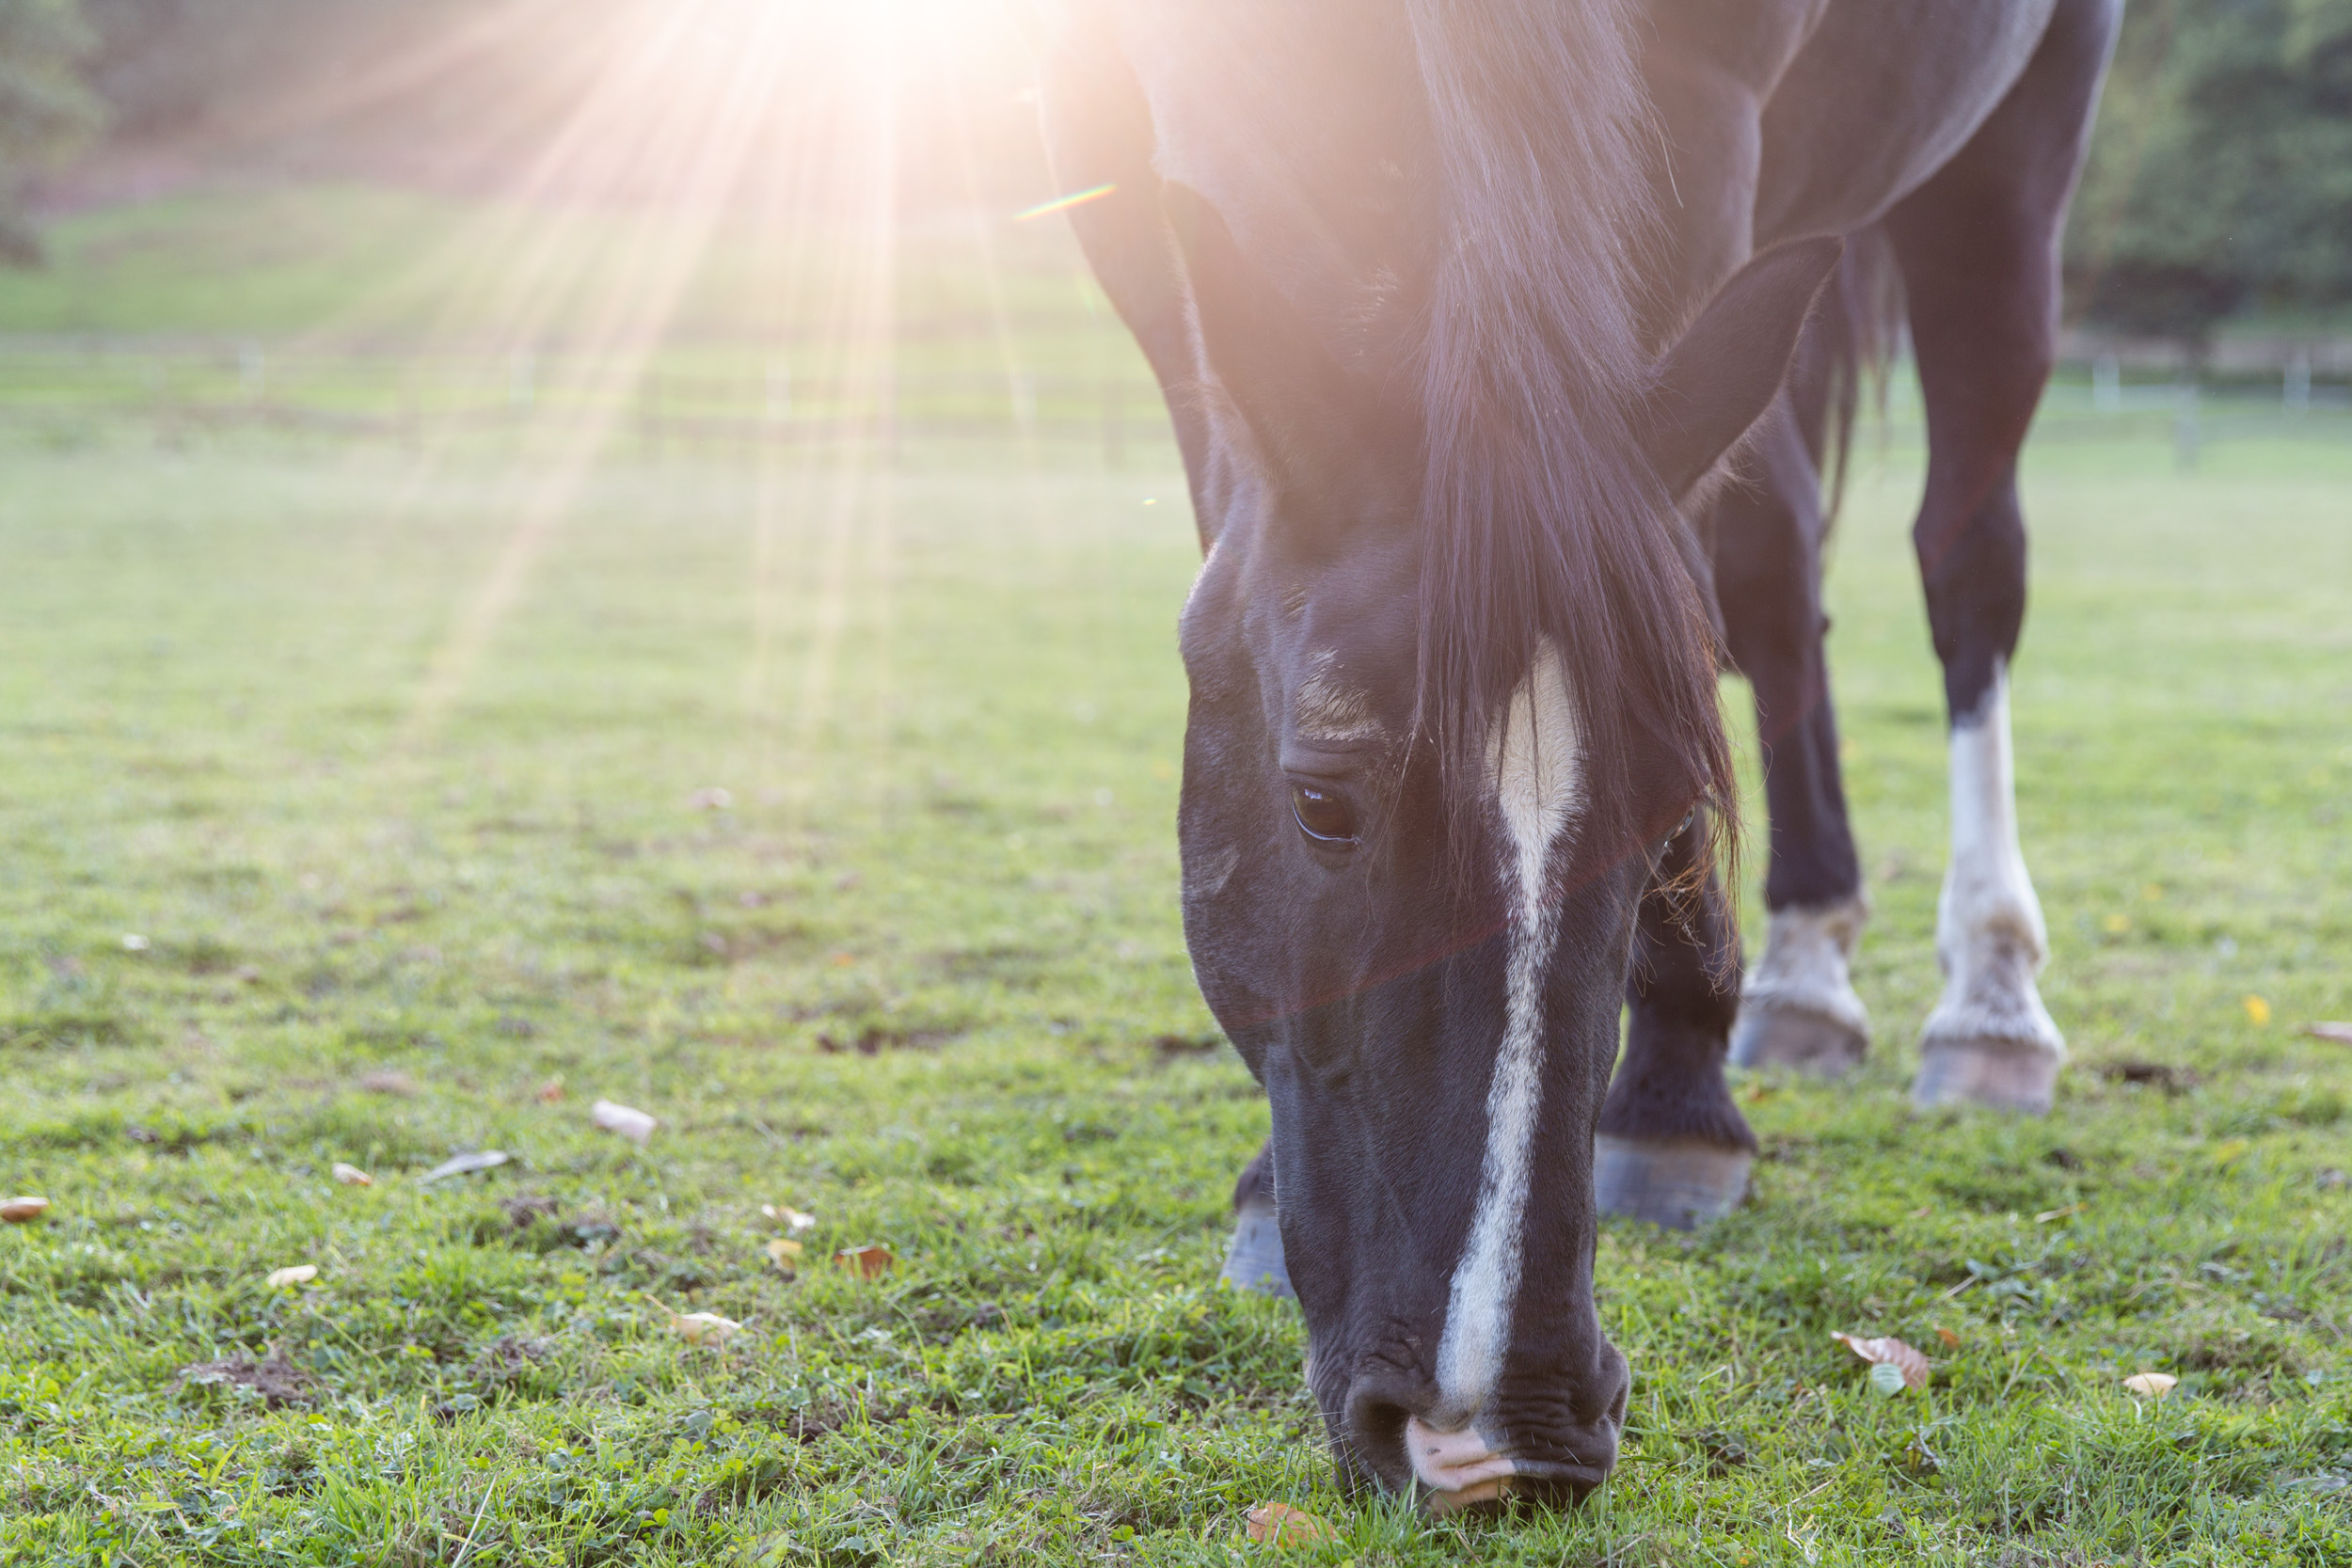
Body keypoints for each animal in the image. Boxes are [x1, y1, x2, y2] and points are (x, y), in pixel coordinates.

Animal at [1030, 0, 2117, 1504]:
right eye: (1321, 801)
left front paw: (1674, 1097)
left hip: (2011, 157)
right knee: (1777, 551)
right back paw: (1805, 966)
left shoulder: (1702, 128)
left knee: (1964, 561)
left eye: (1670, 825)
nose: (1500, 1434)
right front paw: (1257, 1181)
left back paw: (1988, 998)